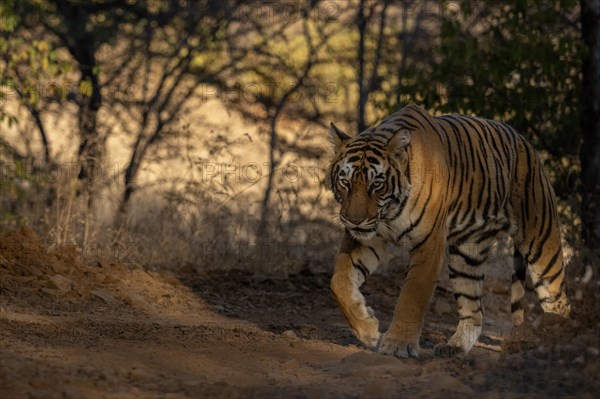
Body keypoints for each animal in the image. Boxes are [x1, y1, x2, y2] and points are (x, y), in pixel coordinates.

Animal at [326, 104, 568, 360]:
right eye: (345, 182)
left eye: (377, 185)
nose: (354, 220)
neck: (389, 212)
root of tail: (526, 142)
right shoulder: (367, 237)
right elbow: (339, 281)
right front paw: (368, 330)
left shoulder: (429, 245)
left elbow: (411, 296)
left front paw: (397, 344)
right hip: (466, 256)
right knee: (475, 311)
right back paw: (455, 347)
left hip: (541, 242)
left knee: (559, 302)